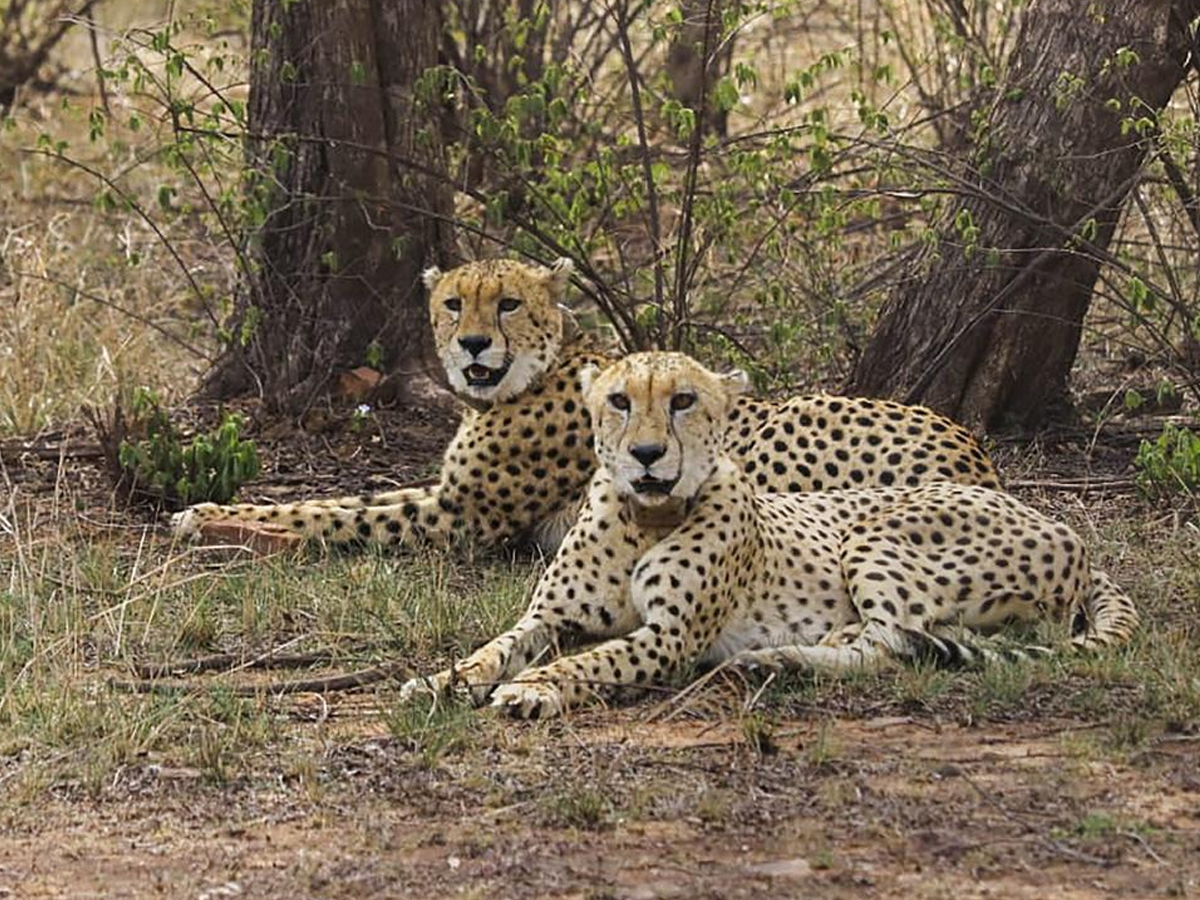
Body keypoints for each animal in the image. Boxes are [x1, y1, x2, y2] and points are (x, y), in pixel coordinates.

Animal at [173, 258, 1001, 556]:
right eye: (453, 303)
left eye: (507, 303)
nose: (472, 345)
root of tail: (975, 451)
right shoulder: (448, 494)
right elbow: (338, 498)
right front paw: (212, 510)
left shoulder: (464, 517)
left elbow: (334, 515)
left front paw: (220, 525)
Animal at [400, 351, 1138, 719]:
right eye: (618, 401)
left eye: (683, 401)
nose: (646, 455)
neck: (645, 517)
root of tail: (1062, 527)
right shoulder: (550, 616)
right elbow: (495, 648)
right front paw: (442, 680)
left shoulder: (670, 638)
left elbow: (590, 662)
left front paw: (534, 689)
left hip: (873, 534)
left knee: (893, 643)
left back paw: (782, 657)